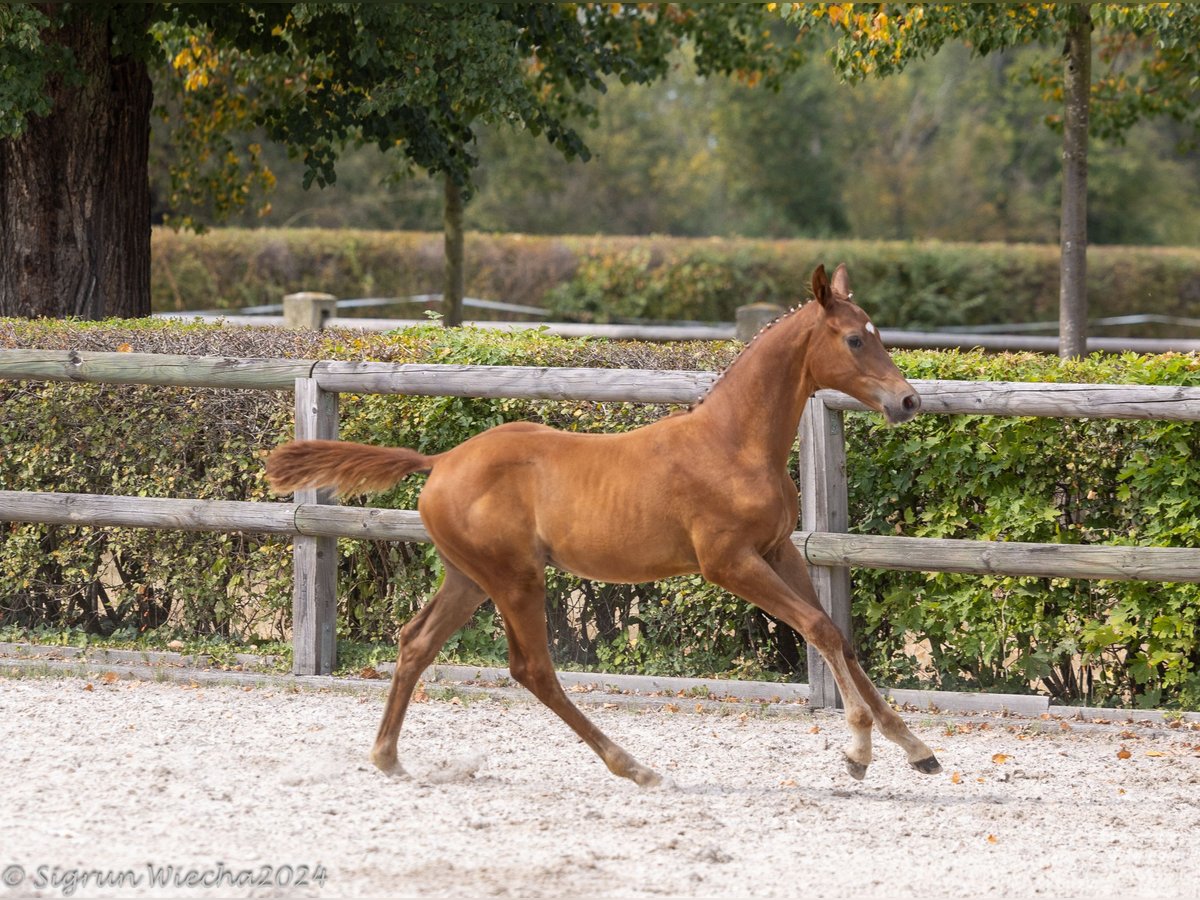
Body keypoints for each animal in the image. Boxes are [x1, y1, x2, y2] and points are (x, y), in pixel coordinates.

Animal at [267, 264, 940, 787]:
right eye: (854, 340)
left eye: (877, 334)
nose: (908, 401)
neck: (732, 444)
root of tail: (442, 461)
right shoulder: (729, 563)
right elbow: (819, 628)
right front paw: (858, 750)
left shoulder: (780, 551)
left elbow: (839, 637)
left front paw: (917, 750)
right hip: (515, 577)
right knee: (532, 670)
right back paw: (635, 767)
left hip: (470, 576)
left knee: (416, 643)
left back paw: (388, 758)